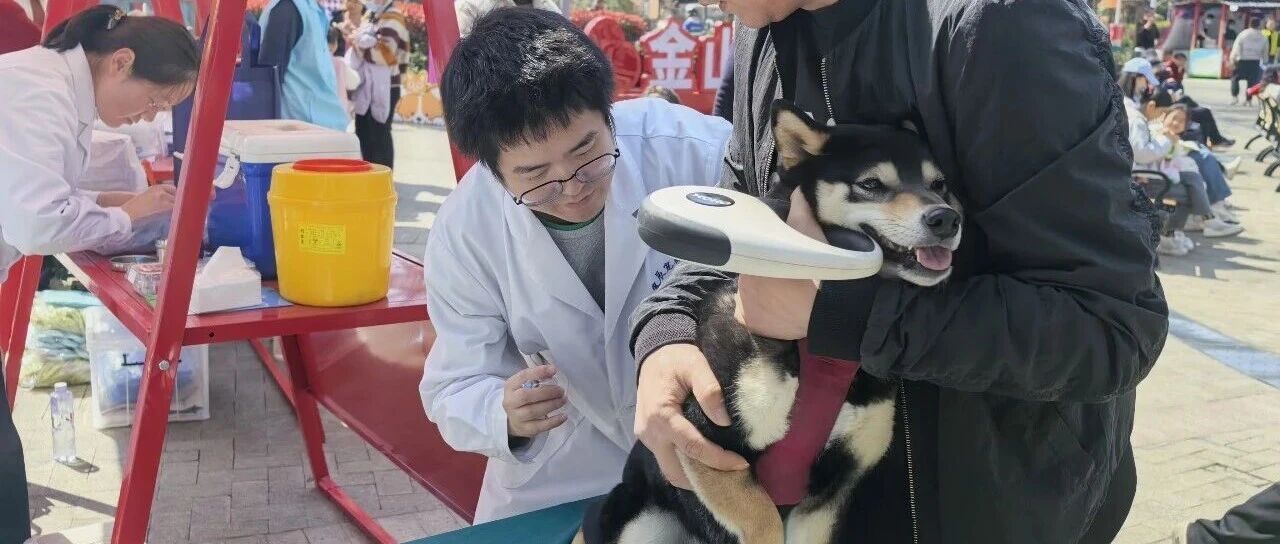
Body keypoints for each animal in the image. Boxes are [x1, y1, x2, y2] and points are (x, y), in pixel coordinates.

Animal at [578, 100, 964, 544]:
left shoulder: (833, 487)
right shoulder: (706, 442)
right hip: (640, 521)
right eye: (871, 184)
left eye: (940, 185)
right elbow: (763, 522)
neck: (822, 356)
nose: (945, 219)